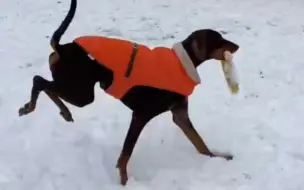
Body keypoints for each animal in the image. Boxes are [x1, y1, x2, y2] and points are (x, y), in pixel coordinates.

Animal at [17, 0, 240, 186]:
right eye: (220, 39)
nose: (237, 46)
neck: (182, 64)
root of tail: (62, 48)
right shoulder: (141, 115)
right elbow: (125, 153)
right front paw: (124, 181)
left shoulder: (179, 114)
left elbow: (200, 143)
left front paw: (218, 157)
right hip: (81, 93)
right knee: (39, 81)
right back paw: (30, 107)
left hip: (77, 89)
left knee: (47, 85)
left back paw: (64, 112)